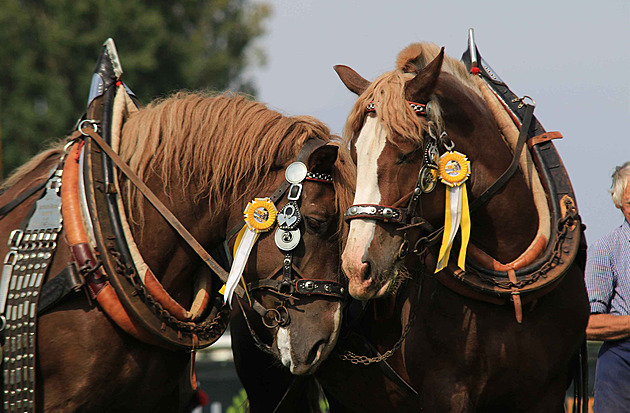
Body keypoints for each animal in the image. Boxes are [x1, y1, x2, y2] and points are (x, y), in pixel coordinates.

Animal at [330, 43, 592, 410]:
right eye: (353, 155)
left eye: (407, 152)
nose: (357, 268)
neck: (511, 288)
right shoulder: (447, 391)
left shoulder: (548, 392)